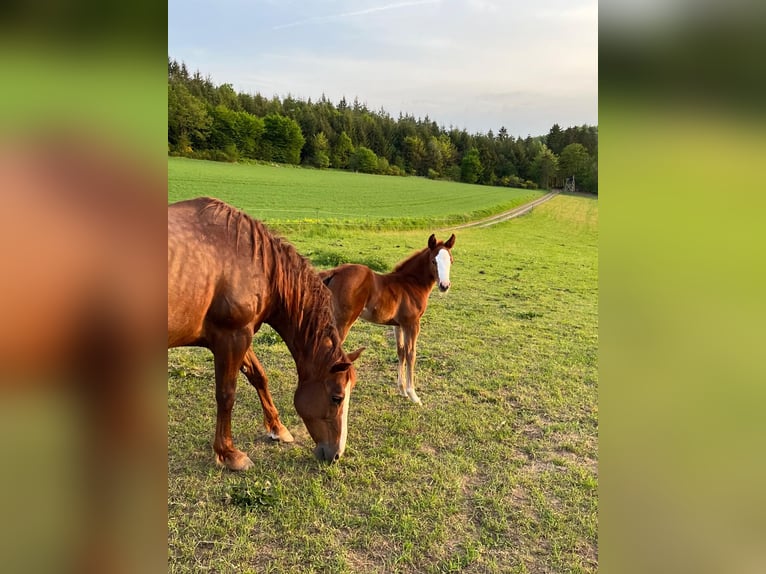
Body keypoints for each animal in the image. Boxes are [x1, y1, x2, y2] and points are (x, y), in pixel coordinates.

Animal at [168, 197, 363, 469]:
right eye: (337, 397)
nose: (336, 454)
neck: (254, 261)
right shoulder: (232, 337)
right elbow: (227, 394)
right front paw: (229, 454)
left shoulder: (240, 336)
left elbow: (259, 376)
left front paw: (277, 428)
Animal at [318, 234, 455, 405]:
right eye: (433, 261)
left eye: (451, 260)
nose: (444, 285)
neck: (411, 284)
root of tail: (335, 271)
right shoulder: (412, 323)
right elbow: (411, 353)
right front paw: (413, 395)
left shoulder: (398, 325)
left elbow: (401, 351)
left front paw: (402, 390)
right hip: (343, 321)